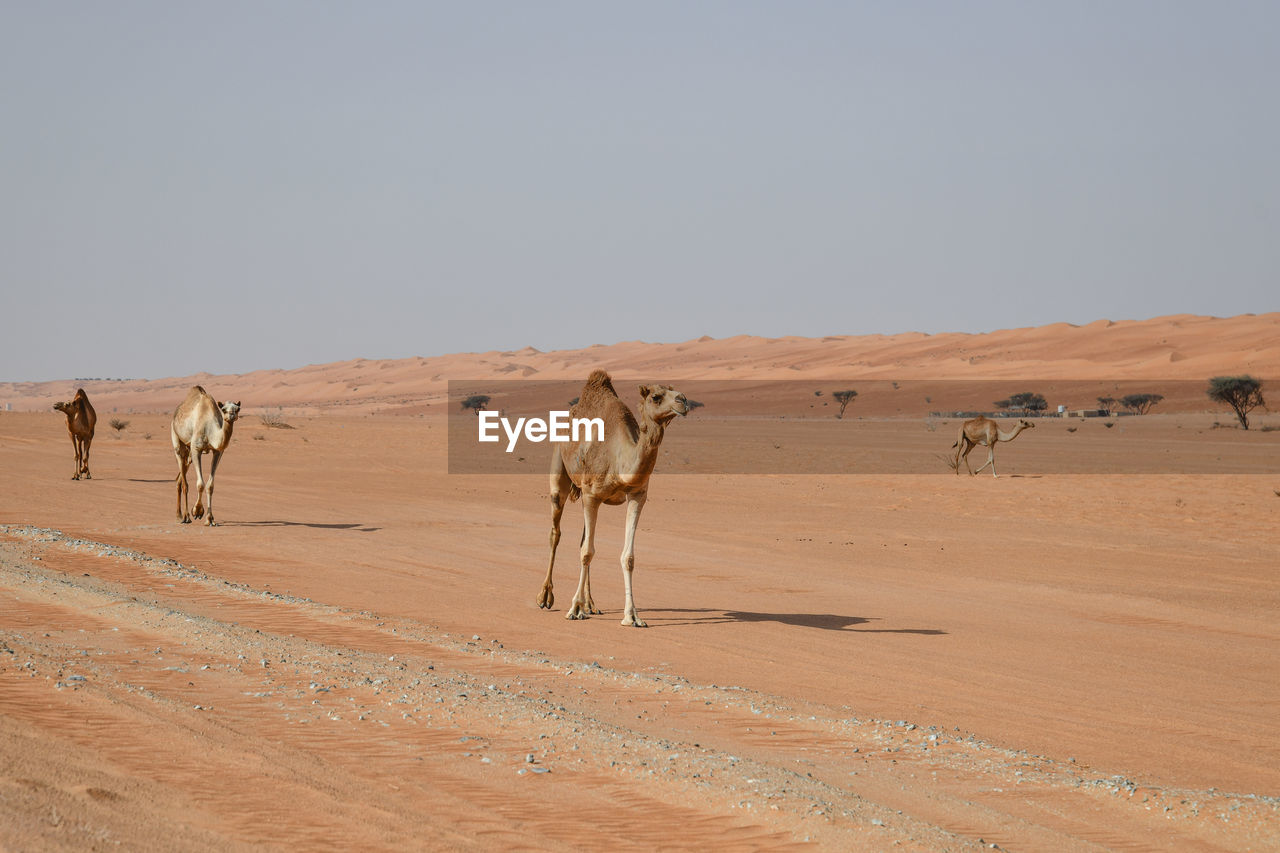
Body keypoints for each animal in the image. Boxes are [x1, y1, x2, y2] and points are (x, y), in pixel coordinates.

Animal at [170, 386, 240, 525]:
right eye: (224, 409)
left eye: (237, 409)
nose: (231, 415)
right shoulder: (196, 448)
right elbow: (200, 484)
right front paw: (197, 511)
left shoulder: (218, 451)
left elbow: (210, 486)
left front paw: (209, 519)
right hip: (177, 439)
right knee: (185, 483)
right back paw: (186, 516)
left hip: (188, 454)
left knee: (180, 478)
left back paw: (179, 515)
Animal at [532, 366, 686, 625]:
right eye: (656, 397)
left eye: (675, 391)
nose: (683, 401)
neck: (619, 457)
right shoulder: (590, 494)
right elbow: (586, 552)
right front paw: (573, 609)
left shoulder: (637, 495)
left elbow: (627, 557)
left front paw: (632, 616)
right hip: (559, 469)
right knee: (556, 532)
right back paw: (546, 597)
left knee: (583, 540)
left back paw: (591, 604)